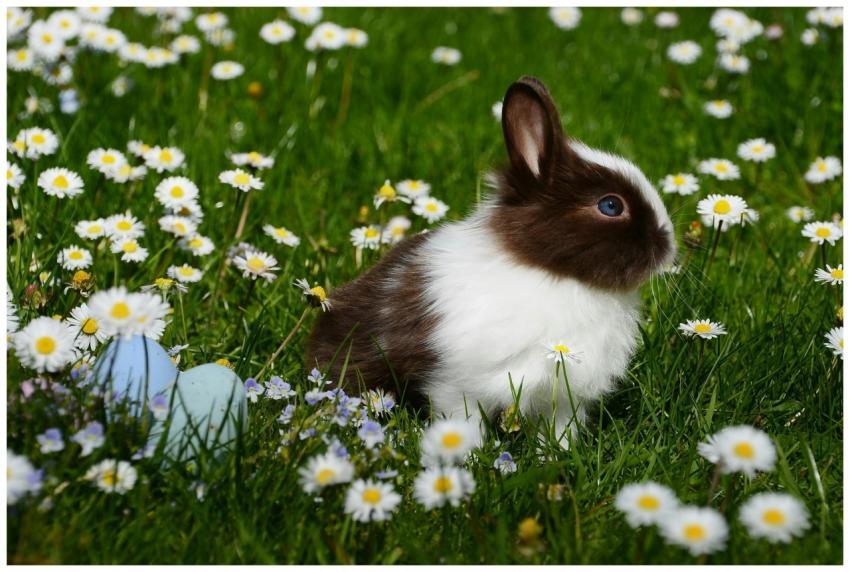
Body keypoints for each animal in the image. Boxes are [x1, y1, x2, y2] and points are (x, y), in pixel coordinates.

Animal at [307, 76, 675, 448]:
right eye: (611, 206)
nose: (669, 245)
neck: (552, 274)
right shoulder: (456, 385)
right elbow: (462, 423)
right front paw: (467, 454)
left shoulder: (563, 397)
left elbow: (559, 430)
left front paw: (555, 453)